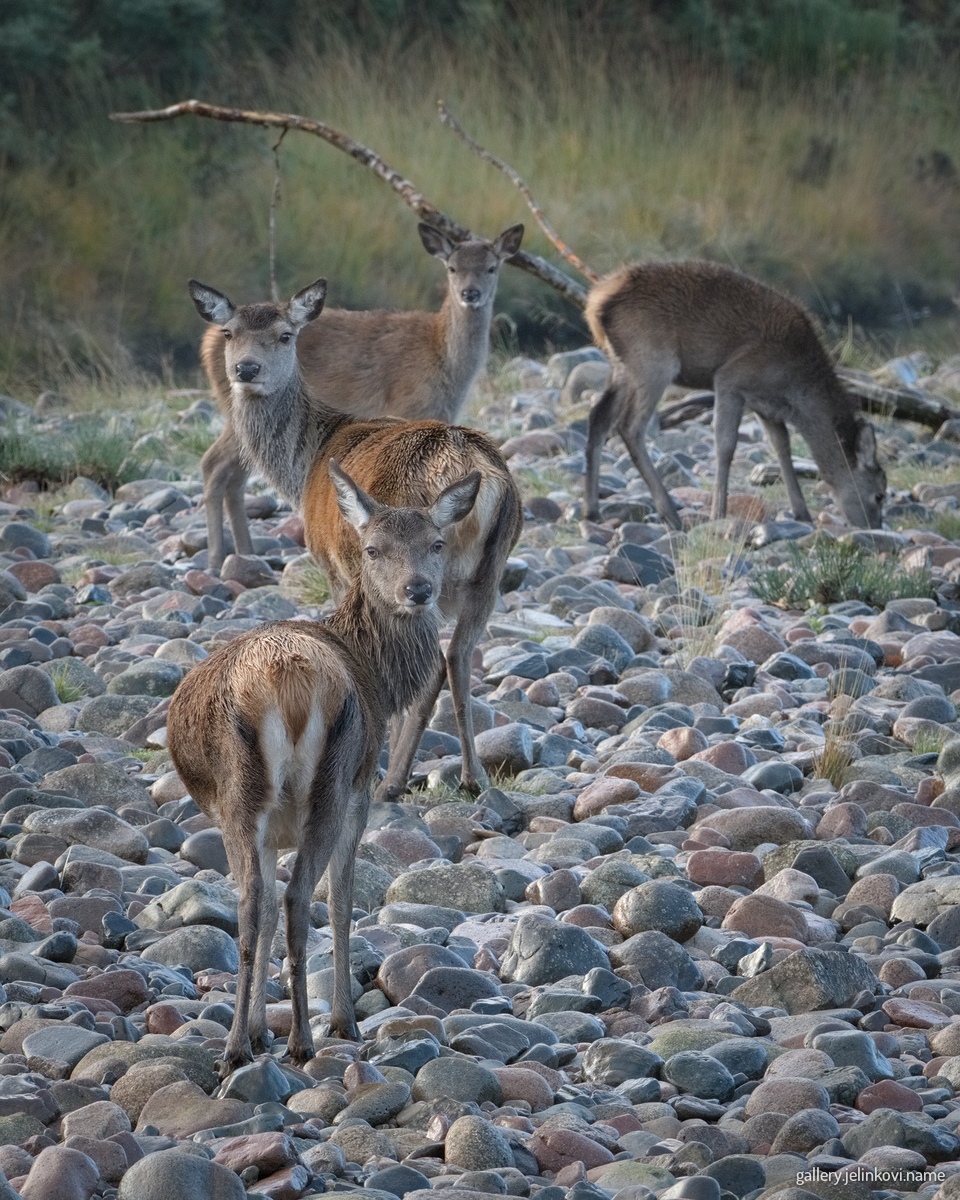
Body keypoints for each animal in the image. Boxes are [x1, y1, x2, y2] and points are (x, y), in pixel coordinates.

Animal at [167, 461, 481, 1074]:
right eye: (373, 548)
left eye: (436, 543)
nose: (418, 590)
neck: (379, 675)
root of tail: (283, 681)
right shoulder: (361, 792)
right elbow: (340, 900)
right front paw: (341, 1019)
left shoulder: (268, 830)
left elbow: (264, 909)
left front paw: (258, 1029)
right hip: (330, 784)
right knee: (298, 899)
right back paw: (305, 1038)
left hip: (243, 798)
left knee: (251, 904)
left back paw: (236, 1046)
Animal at [188, 276, 523, 801]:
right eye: (229, 332)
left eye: (286, 335)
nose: (247, 369)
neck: (305, 465)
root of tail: (480, 471)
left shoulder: (338, 568)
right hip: (489, 571)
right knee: (459, 657)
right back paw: (471, 777)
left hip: (411, 570)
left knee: (433, 664)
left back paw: (393, 779)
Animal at [198, 222, 524, 570]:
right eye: (452, 268)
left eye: (491, 267)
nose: (470, 294)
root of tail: (207, 340)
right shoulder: (408, 402)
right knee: (213, 464)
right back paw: (219, 558)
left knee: (230, 473)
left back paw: (244, 554)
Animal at [582, 260, 887, 530]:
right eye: (879, 495)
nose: (875, 529)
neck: (797, 389)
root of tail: (595, 303)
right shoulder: (731, 378)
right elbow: (726, 444)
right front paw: (718, 512)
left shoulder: (764, 405)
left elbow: (781, 445)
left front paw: (802, 513)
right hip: (653, 360)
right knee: (630, 426)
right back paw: (670, 513)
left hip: (622, 365)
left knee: (598, 416)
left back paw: (592, 511)